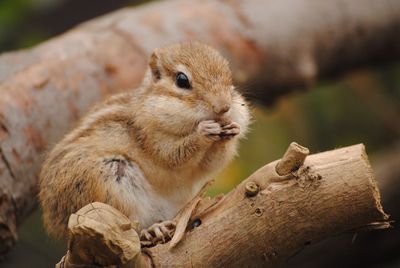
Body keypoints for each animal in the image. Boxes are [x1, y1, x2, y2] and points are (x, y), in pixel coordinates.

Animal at [38, 41, 250, 243]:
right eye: (182, 80)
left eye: (229, 76)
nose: (223, 107)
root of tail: (55, 223)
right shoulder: (151, 138)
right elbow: (172, 156)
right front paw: (203, 132)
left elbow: (210, 164)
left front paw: (232, 130)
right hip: (108, 180)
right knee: (130, 224)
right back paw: (151, 230)